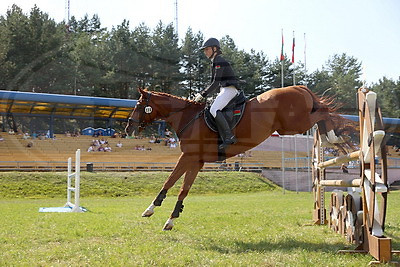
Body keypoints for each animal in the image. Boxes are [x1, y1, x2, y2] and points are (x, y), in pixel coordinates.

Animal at [125, 86, 350, 232]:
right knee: (322, 116)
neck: (188, 118)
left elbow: (176, 184)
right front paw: (155, 210)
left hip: (294, 123)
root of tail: (300, 88)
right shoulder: (195, 160)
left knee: (323, 114)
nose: (128, 128)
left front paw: (168, 217)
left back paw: (336, 138)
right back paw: (337, 143)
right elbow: (174, 184)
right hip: (292, 125)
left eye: (139, 105)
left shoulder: (190, 157)